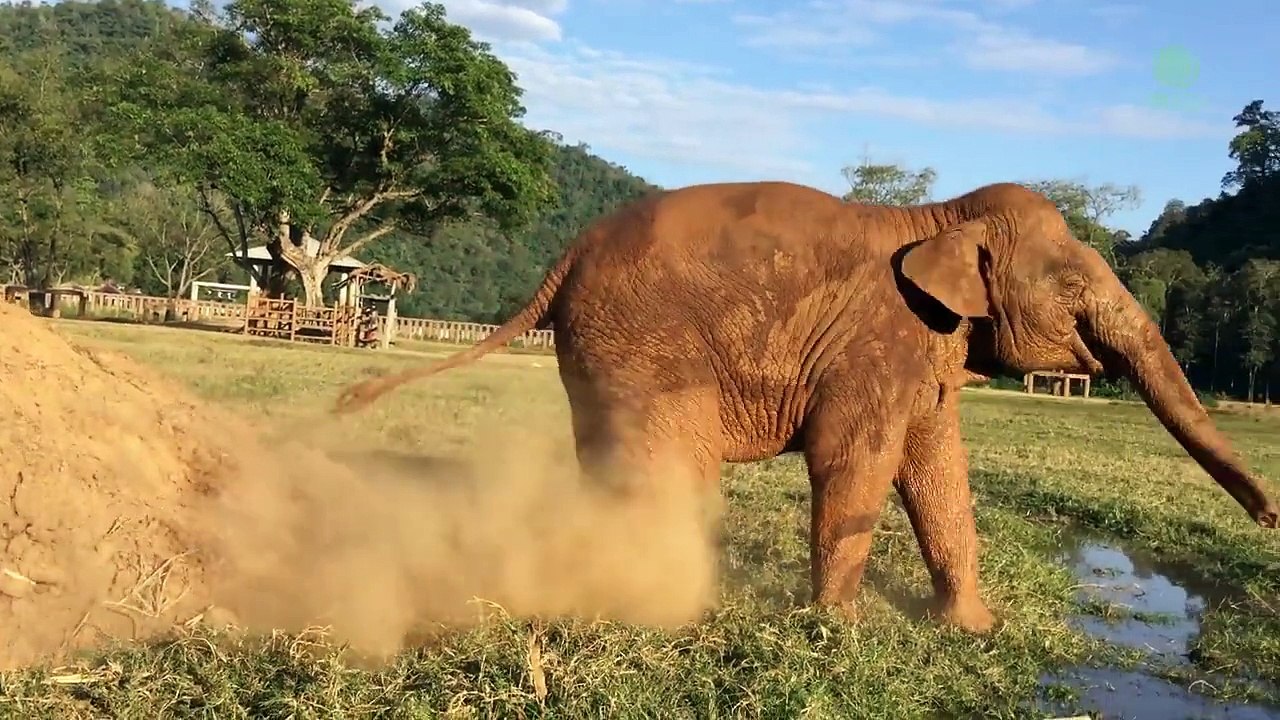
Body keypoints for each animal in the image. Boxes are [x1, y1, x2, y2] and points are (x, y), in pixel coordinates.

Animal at [333, 180, 1278, 633]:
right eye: (1076, 289)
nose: (1270, 516)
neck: (940, 217)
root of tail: (565, 257)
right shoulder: (879, 342)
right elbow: (856, 461)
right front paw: (838, 628)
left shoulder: (927, 347)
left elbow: (940, 469)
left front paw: (973, 630)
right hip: (644, 345)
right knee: (672, 469)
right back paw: (664, 599)